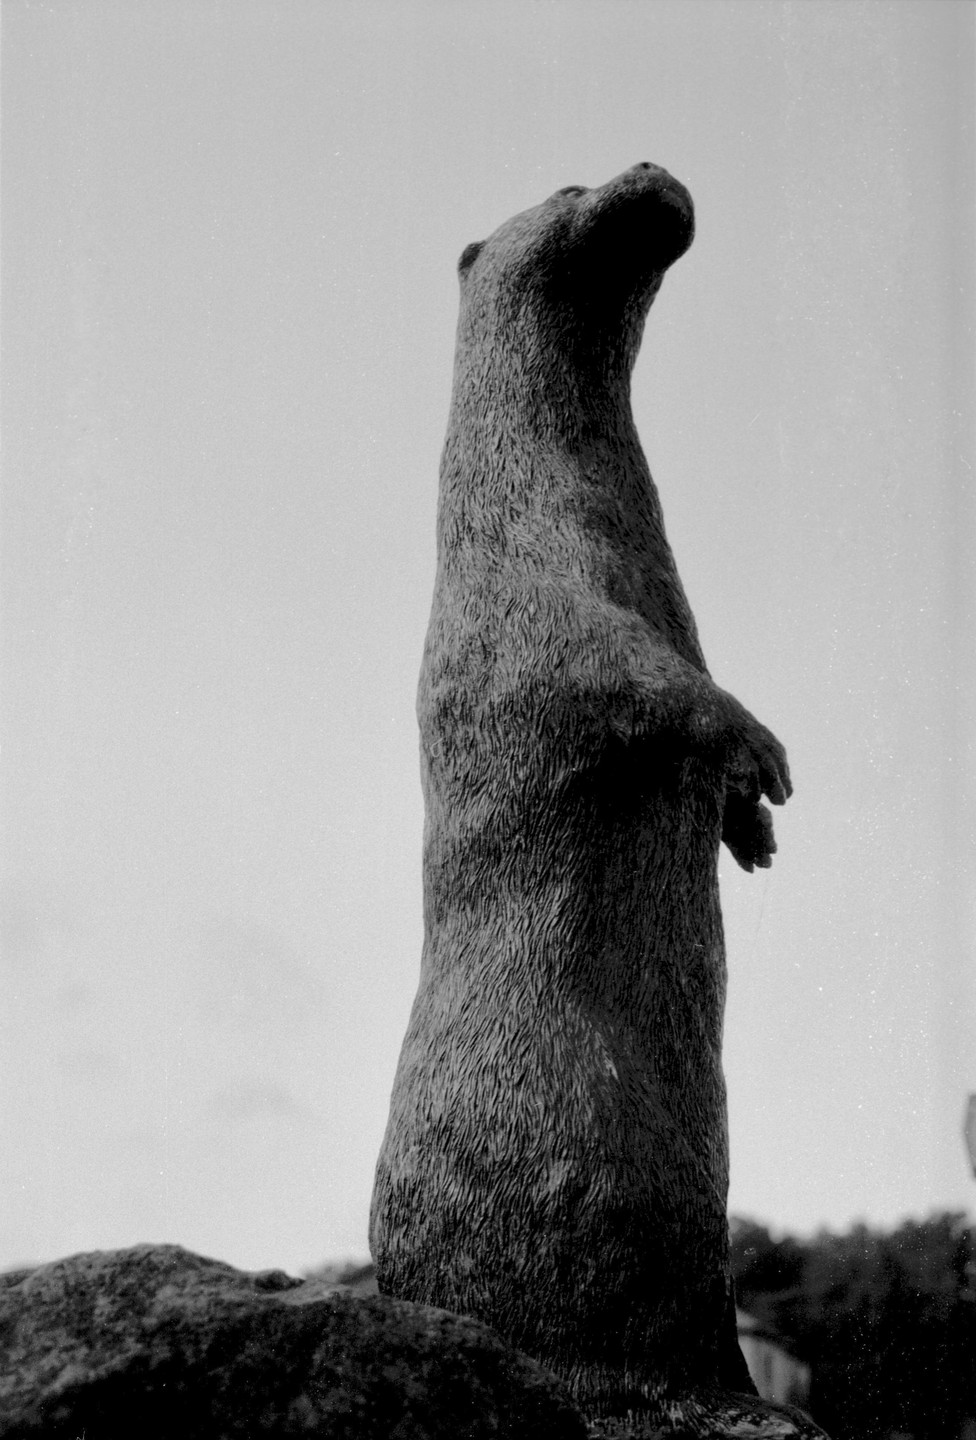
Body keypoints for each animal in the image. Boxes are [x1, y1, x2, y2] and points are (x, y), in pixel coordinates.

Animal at [370, 163, 796, 1427]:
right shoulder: (539, 604)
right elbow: (643, 686)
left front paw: (749, 828)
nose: (648, 174)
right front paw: (760, 751)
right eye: (566, 187)